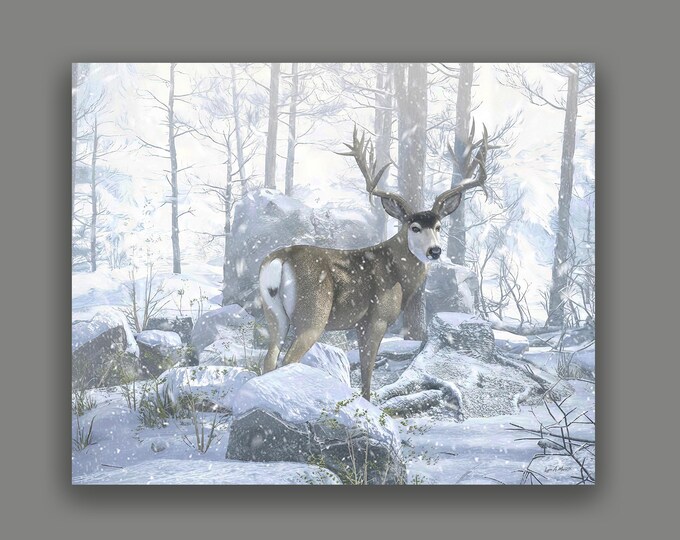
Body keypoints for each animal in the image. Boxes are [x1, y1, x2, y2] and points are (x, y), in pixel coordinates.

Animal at [258, 125, 489, 401]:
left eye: (439, 226)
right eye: (414, 227)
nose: (435, 251)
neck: (397, 272)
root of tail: (280, 259)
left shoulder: (360, 323)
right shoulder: (377, 317)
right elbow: (368, 371)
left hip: (273, 313)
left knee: (268, 360)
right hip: (312, 315)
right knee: (287, 360)